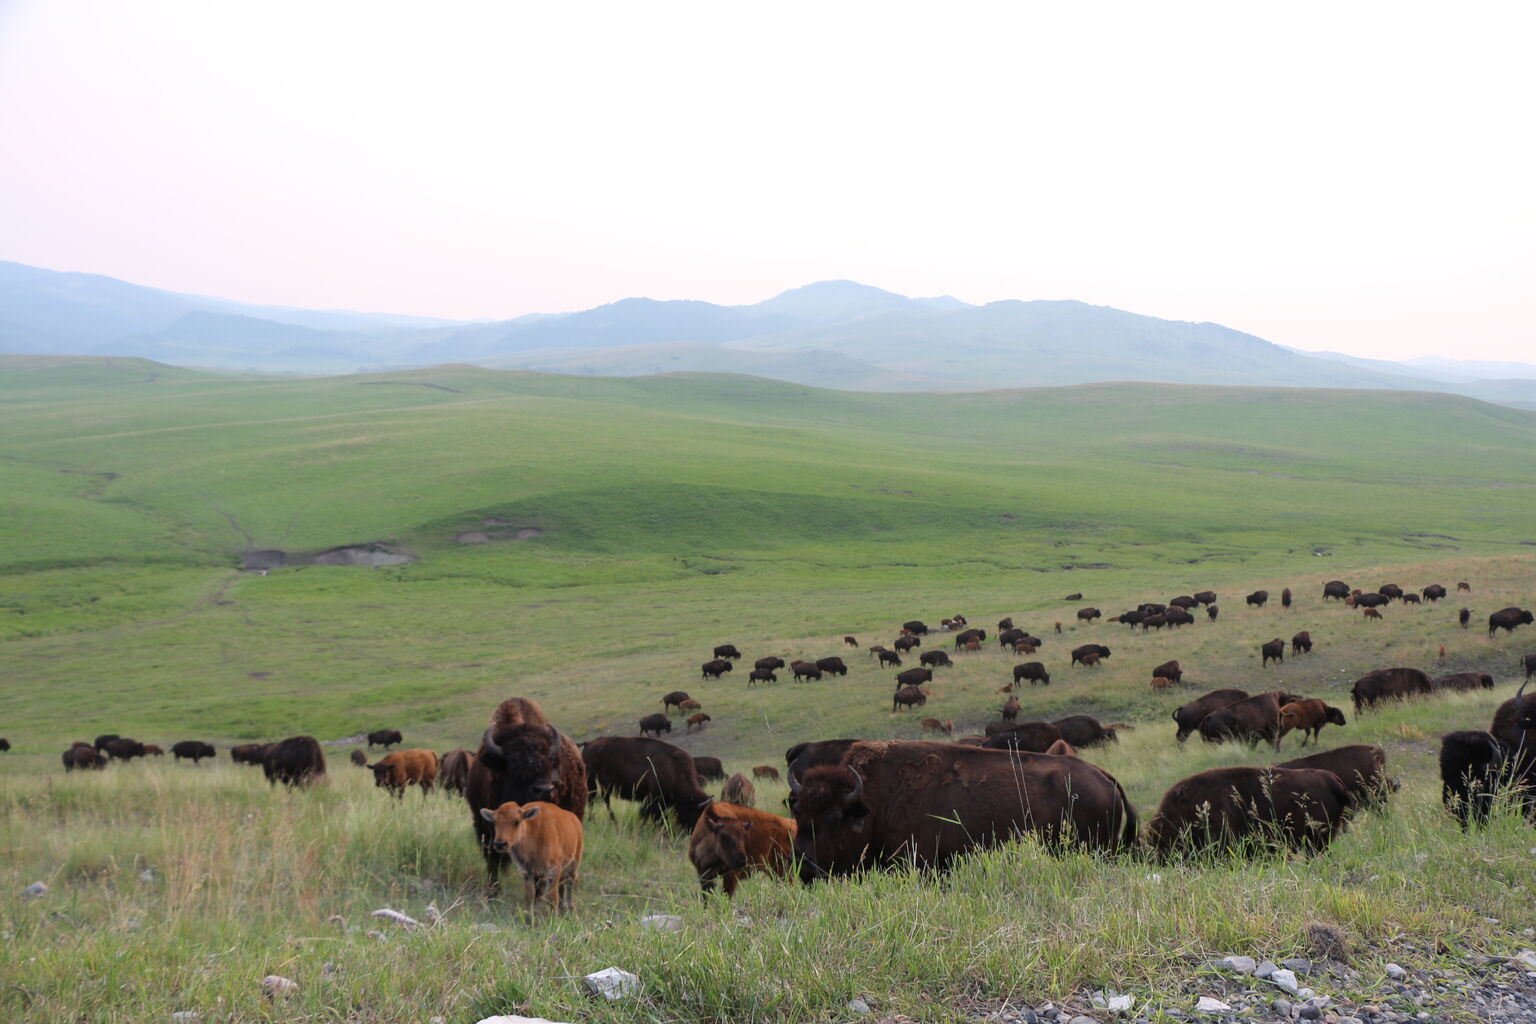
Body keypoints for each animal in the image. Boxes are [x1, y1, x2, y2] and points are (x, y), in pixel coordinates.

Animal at [792, 736, 1142, 884]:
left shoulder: (922, 863)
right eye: (797, 814)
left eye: (834, 817)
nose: (805, 866)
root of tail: (1104, 776)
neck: (876, 801)